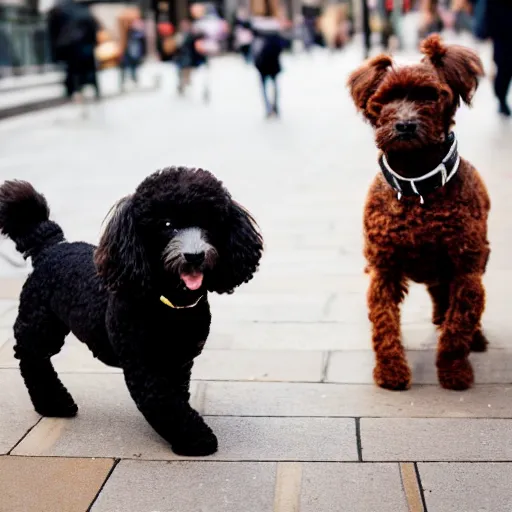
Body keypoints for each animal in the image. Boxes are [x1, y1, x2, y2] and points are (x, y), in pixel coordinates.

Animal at [350, 34, 490, 390]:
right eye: (385, 99)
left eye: (430, 95)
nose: (405, 125)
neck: (417, 187)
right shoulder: (383, 268)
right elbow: (384, 323)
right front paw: (390, 372)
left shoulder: (465, 268)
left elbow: (458, 327)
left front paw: (454, 372)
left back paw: (475, 338)